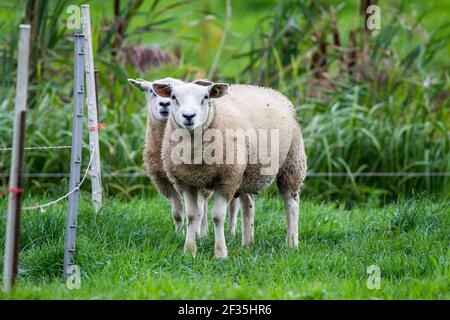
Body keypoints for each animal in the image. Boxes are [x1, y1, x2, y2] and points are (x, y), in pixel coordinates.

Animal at [154, 81, 306, 258]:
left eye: (206, 97)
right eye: (173, 97)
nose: (189, 116)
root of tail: (270, 90)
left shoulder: (226, 180)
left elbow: (218, 217)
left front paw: (220, 253)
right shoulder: (185, 182)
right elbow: (192, 216)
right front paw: (189, 251)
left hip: (292, 161)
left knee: (291, 204)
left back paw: (292, 244)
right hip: (245, 173)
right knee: (248, 206)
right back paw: (247, 244)